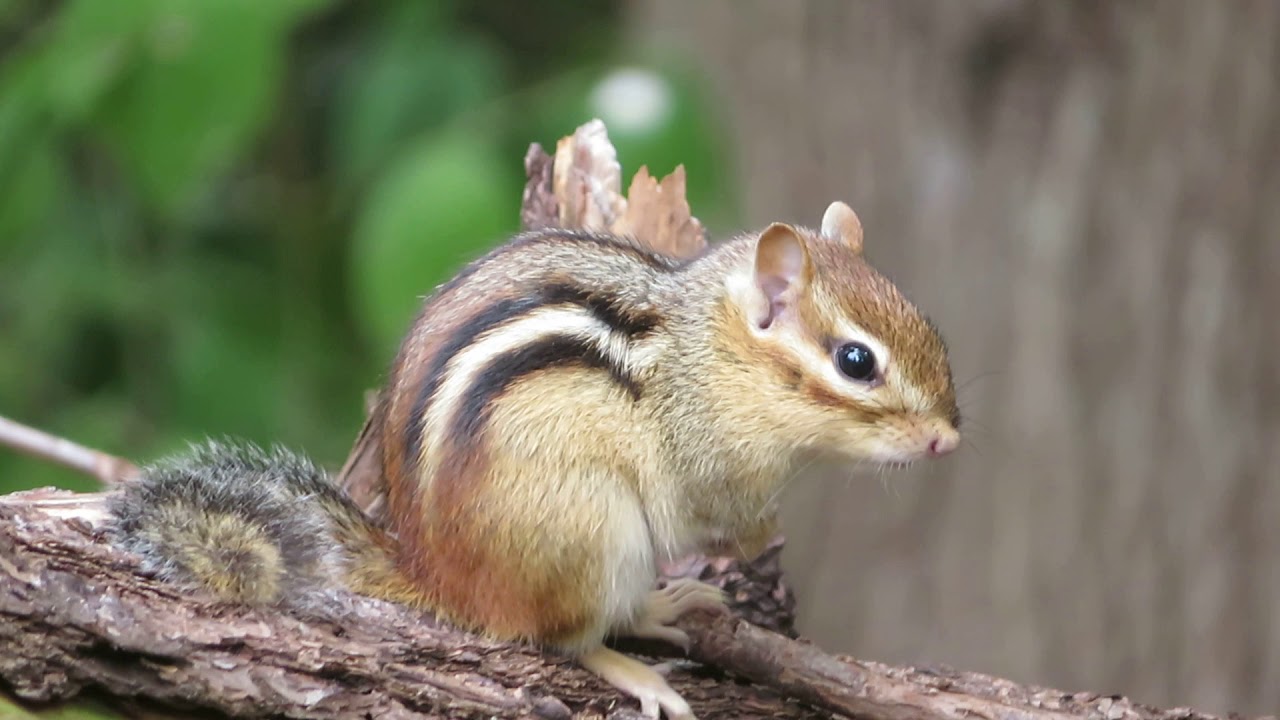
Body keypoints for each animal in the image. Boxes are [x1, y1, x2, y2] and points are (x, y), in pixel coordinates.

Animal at [107, 201, 960, 720]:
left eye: (928, 324)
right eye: (856, 361)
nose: (947, 440)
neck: (713, 351)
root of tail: (440, 575)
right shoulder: (709, 459)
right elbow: (719, 514)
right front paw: (756, 538)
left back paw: (666, 607)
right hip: (591, 531)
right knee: (564, 639)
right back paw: (636, 668)